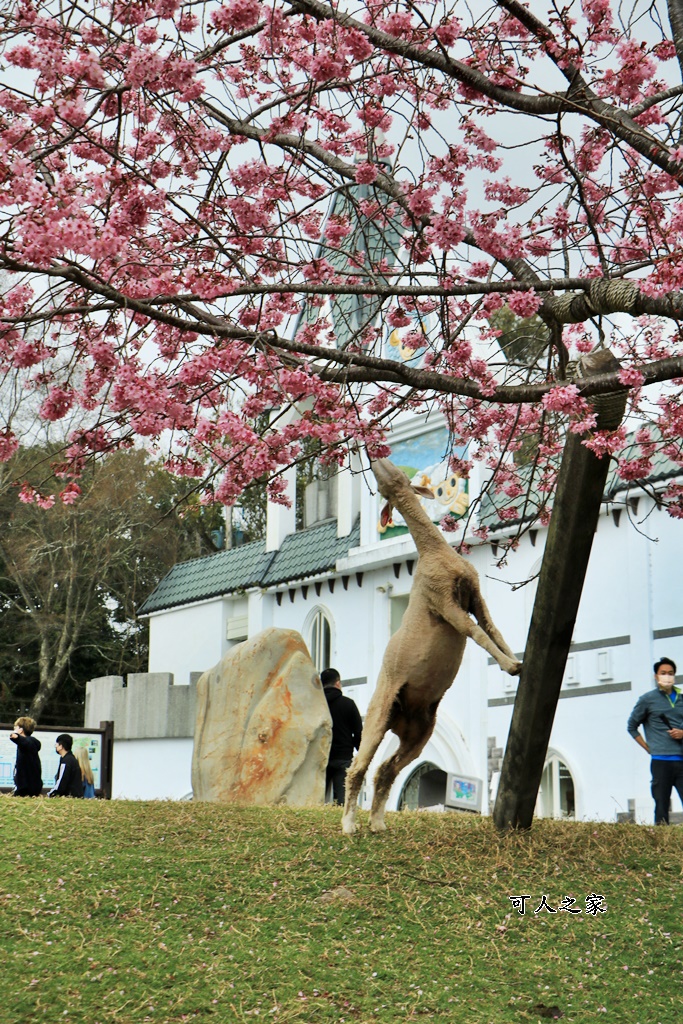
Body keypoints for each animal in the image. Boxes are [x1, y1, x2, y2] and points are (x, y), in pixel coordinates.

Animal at [342, 460, 524, 835]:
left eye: (394, 474)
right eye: (385, 485)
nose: (375, 457)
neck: (434, 551)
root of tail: (401, 720)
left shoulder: (473, 594)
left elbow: (493, 629)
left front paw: (516, 662)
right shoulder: (442, 601)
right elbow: (476, 633)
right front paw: (510, 666)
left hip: (419, 733)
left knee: (386, 770)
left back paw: (378, 824)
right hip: (378, 714)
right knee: (358, 767)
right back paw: (349, 825)